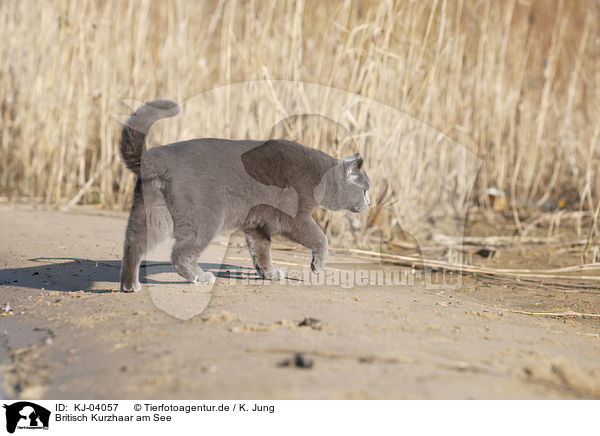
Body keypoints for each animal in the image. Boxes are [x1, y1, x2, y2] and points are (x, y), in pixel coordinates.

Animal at [118, 99, 370, 292]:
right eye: (365, 189)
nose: (370, 202)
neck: (321, 176)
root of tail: (156, 159)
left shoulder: (257, 224)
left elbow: (261, 250)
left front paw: (269, 273)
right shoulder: (294, 218)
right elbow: (320, 238)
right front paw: (318, 265)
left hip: (153, 212)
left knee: (133, 244)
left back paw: (129, 285)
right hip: (205, 219)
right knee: (179, 254)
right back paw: (201, 277)